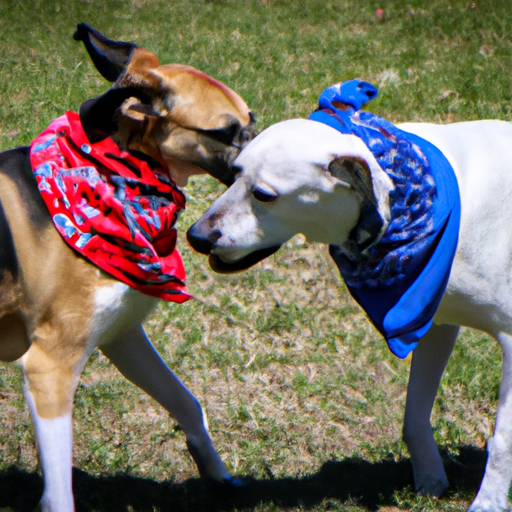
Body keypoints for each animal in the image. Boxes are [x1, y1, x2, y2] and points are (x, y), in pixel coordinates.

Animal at [0, 25, 256, 512]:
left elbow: (188, 404)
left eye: (252, 121)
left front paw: (217, 475)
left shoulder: (123, 335)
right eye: (225, 131)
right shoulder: (49, 368)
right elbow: (59, 495)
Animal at [187, 84, 512, 508]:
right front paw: (430, 478)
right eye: (234, 175)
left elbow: (503, 441)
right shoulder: (433, 321)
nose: (195, 236)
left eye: (264, 195)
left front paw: (488, 502)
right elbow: (413, 416)